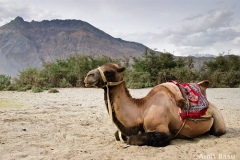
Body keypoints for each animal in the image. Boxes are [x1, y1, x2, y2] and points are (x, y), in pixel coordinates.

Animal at [83, 62, 226, 146]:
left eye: (108, 71)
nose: (88, 76)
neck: (142, 110)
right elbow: (118, 136)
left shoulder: (163, 130)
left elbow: (132, 139)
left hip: (219, 123)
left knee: (219, 131)